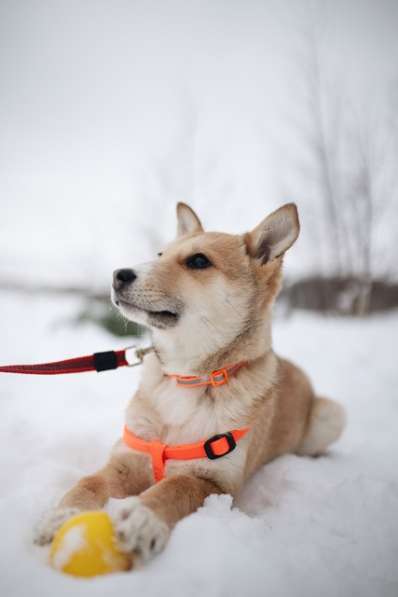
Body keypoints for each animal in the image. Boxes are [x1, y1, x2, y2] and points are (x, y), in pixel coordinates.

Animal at [34, 203, 346, 564]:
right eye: (160, 254)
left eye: (198, 261)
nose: (118, 274)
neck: (186, 377)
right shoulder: (126, 459)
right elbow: (89, 482)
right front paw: (63, 514)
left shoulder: (214, 483)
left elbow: (174, 489)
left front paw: (143, 518)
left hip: (332, 414)